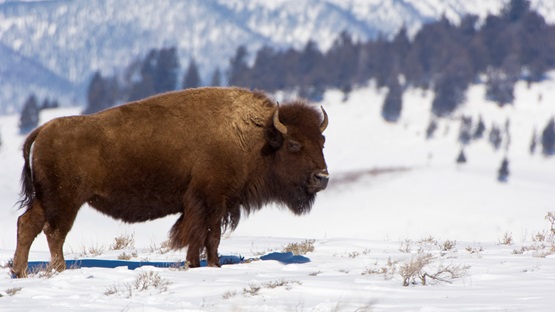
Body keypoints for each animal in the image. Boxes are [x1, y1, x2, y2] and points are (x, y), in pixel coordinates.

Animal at [11, 87, 330, 278]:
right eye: (294, 144)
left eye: (322, 141)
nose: (322, 177)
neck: (255, 136)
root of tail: (43, 130)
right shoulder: (210, 199)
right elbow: (207, 235)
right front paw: (206, 265)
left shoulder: (211, 204)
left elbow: (203, 236)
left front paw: (201, 264)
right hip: (66, 201)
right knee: (54, 232)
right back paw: (59, 270)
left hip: (46, 199)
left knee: (28, 225)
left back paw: (20, 272)